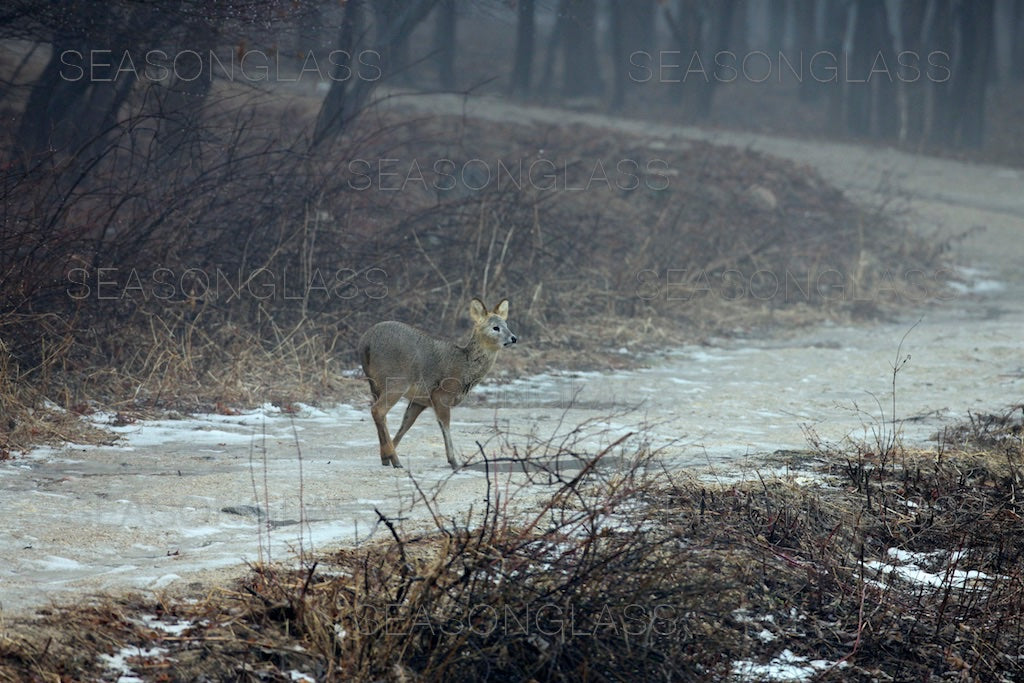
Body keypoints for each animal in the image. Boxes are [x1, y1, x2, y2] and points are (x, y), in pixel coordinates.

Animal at [358, 298, 517, 469]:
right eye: (495, 327)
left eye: (506, 324)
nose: (514, 338)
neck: (465, 366)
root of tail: (366, 343)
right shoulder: (442, 393)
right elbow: (445, 425)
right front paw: (454, 462)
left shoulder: (420, 401)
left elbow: (406, 424)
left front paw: (384, 455)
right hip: (396, 380)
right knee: (378, 410)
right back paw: (396, 460)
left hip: (375, 384)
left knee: (381, 414)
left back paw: (389, 458)